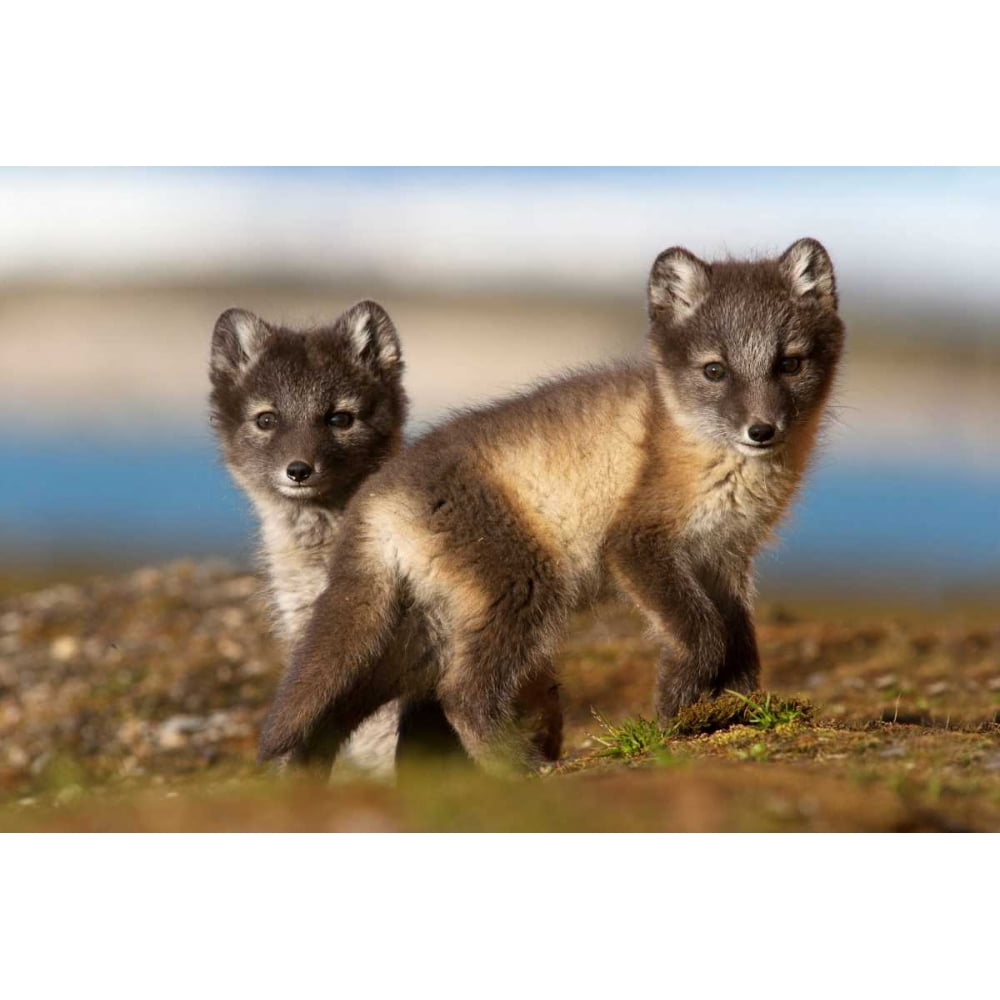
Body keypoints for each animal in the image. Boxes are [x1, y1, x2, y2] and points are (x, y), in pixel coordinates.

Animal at [257, 238, 845, 774]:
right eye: (715, 371)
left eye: (789, 364)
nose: (761, 430)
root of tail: (376, 495)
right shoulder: (638, 544)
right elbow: (703, 635)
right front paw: (675, 716)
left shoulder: (725, 556)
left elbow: (740, 643)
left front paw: (734, 711)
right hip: (521, 586)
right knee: (462, 693)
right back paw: (518, 766)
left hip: (418, 636)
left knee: (348, 708)